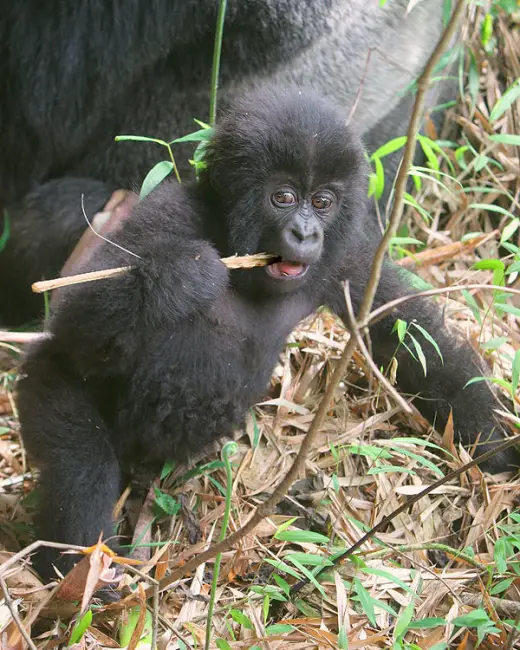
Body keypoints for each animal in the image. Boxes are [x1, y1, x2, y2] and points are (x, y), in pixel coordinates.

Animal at [17, 87, 516, 576]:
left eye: (322, 202)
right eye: (283, 197)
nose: (304, 233)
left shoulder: (347, 252)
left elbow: (410, 336)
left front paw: (494, 442)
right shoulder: (168, 214)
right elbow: (75, 318)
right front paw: (178, 278)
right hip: (47, 381)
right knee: (80, 456)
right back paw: (78, 569)